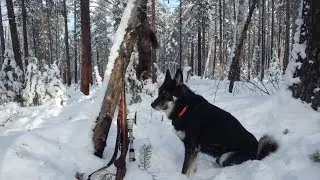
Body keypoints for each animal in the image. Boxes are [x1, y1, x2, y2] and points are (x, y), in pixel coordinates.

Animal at [150, 69, 278, 176]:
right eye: (159, 92)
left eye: (165, 94)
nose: (152, 105)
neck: (184, 108)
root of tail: (257, 151)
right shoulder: (194, 149)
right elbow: (191, 168)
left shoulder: (191, 147)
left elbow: (185, 169)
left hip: (224, 157)